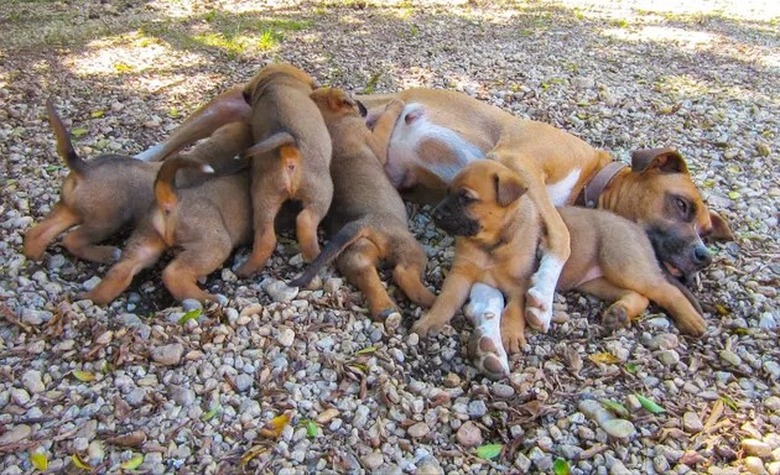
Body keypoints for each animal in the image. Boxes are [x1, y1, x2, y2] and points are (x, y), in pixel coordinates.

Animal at [82, 123, 254, 304]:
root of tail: (172, 199)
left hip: (145, 241)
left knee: (119, 271)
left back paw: (88, 296)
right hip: (214, 245)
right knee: (173, 274)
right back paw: (209, 298)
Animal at [238, 63, 336, 278]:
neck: (278, 82)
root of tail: (288, 145)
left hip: (264, 196)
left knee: (265, 237)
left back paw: (247, 269)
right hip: (321, 192)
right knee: (305, 221)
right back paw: (314, 256)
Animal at [288, 89, 436, 320]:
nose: (361, 103)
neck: (332, 121)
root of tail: (363, 222)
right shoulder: (375, 140)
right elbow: (386, 122)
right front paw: (395, 105)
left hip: (355, 251)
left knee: (363, 268)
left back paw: (384, 308)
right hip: (406, 245)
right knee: (403, 273)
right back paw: (431, 300)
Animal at [414, 160, 708, 376]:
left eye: (466, 198)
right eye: (448, 192)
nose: (435, 215)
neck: (492, 243)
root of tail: (638, 230)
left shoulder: (521, 285)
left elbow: (514, 310)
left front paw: (512, 334)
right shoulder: (461, 275)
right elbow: (445, 300)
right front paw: (429, 322)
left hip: (623, 265)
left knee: (665, 291)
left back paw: (692, 320)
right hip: (596, 282)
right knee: (641, 295)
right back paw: (620, 313)